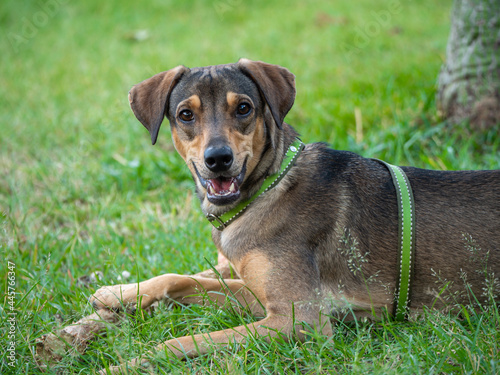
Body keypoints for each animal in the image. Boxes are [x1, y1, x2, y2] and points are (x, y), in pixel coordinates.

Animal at [91, 58, 500, 374]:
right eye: (185, 114)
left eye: (244, 108)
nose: (218, 159)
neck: (265, 190)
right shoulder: (259, 294)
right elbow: (180, 279)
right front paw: (117, 293)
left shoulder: (300, 319)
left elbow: (183, 340)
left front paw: (124, 364)